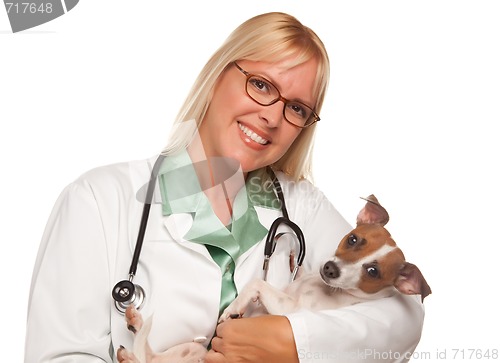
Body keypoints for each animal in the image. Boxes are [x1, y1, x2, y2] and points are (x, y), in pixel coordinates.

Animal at [117, 196, 430, 363]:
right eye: (353, 239)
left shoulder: (290, 311)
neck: (323, 289)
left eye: (373, 272)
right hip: (191, 348)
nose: (330, 269)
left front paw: (234, 308)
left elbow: (257, 284)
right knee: (150, 357)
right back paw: (134, 326)